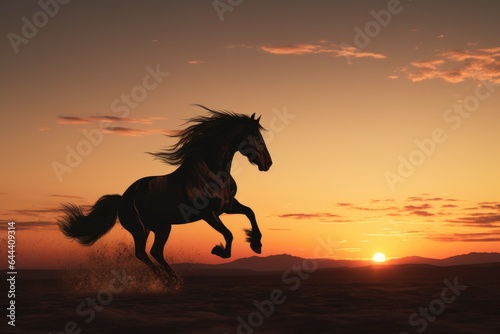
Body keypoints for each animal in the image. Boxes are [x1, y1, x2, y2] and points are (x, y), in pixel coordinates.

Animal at [58, 106, 274, 284]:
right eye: (256, 136)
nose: (268, 163)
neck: (212, 171)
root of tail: (122, 198)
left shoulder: (227, 207)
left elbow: (250, 212)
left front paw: (256, 244)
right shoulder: (208, 214)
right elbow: (228, 234)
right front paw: (218, 250)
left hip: (159, 227)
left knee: (154, 252)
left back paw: (172, 280)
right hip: (144, 229)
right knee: (143, 253)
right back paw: (168, 281)